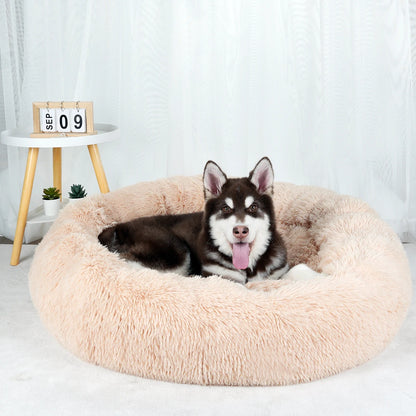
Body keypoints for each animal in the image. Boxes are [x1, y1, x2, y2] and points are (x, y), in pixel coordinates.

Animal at [98, 158, 290, 284]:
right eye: (226, 209)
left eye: (253, 207)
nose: (240, 231)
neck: (248, 268)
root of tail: (117, 227)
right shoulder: (221, 277)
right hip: (174, 249)